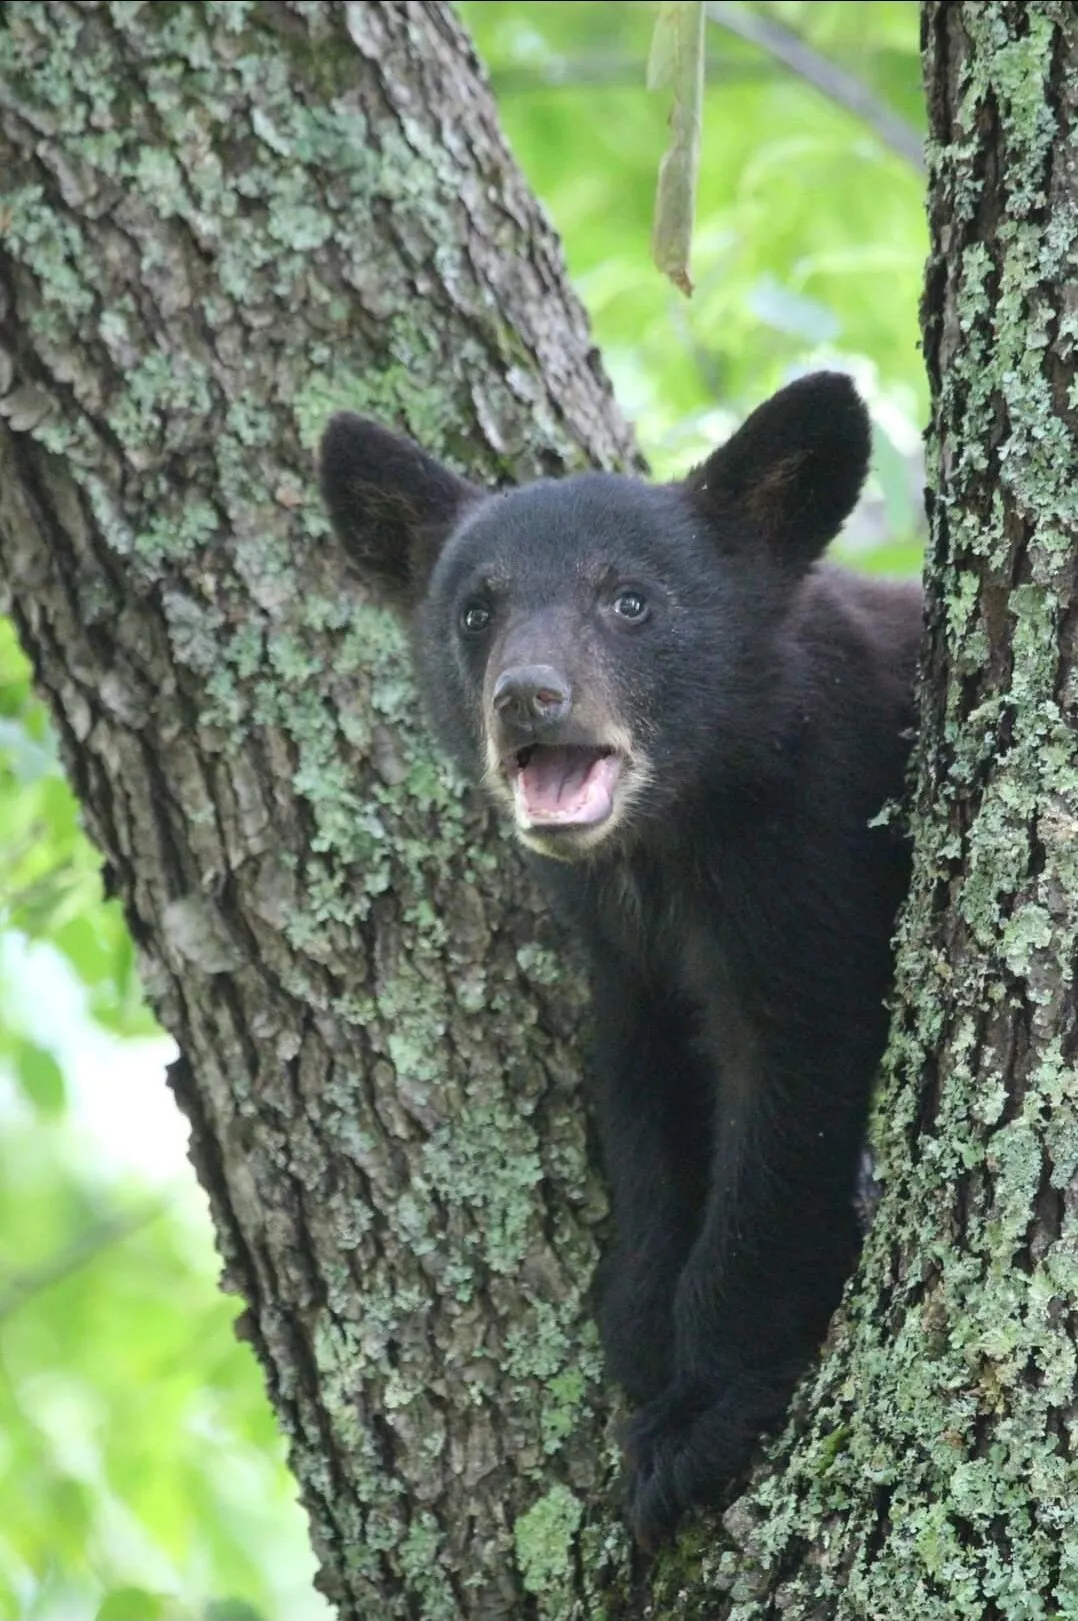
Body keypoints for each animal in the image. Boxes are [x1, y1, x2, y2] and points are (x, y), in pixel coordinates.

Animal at [319, 372, 922, 1547]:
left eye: (630, 601)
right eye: (478, 609)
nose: (529, 695)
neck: (670, 843)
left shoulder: (816, 868)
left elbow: (791, 1114)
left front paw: (699, 1412)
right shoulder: (625, 954)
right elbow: (647, 1101)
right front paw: (640, 1323)